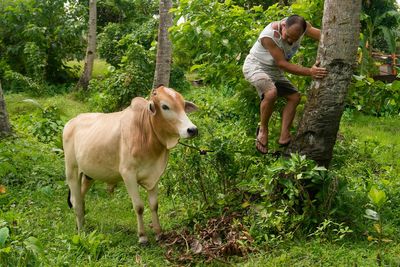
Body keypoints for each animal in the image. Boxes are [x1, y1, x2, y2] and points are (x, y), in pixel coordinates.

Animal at [62, 86, 198, 245]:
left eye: (183, 105)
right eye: (165, 106)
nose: (192, 130)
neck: (145, 131)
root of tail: (71, 122)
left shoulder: (155, 175)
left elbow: (154, 205)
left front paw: (158, 233)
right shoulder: (128, 175)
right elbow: (139, 206)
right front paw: (142, 237)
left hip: (88, 175)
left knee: (79, 198)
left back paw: (79, 225)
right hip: (71, 171)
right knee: (76, 201)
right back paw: (81, 232)